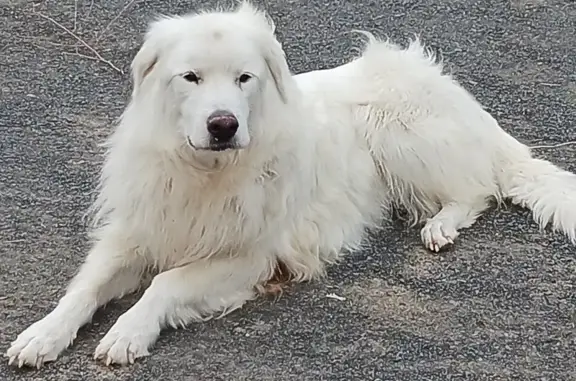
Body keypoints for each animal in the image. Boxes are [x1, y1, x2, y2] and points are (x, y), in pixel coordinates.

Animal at [5, 0, 576, 368]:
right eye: (190, 77)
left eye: (244, 78)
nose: (223, 125)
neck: (206, 172)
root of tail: (460, 95)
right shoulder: (140, 229)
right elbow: (86, 287)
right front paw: (43, 334)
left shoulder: (248, 257)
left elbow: (165, 282)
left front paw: (128, 331)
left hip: (398, 131)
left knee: (476, 189)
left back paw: (441, 226)